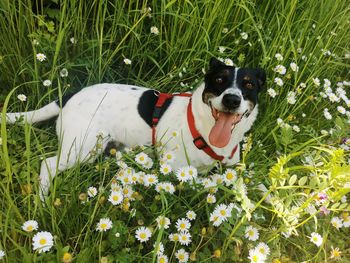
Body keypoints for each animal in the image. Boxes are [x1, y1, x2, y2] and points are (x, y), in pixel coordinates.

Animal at [2, 57, 266, 198]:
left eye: (249, 85)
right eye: (219, 80)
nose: (231, 100)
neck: (205, 129)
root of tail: (69, 95)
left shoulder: (234, 164)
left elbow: (254, 181)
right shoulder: (177, 170)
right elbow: (215, 182)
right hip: (82, 149)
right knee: (47, 165)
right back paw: (43, 198)